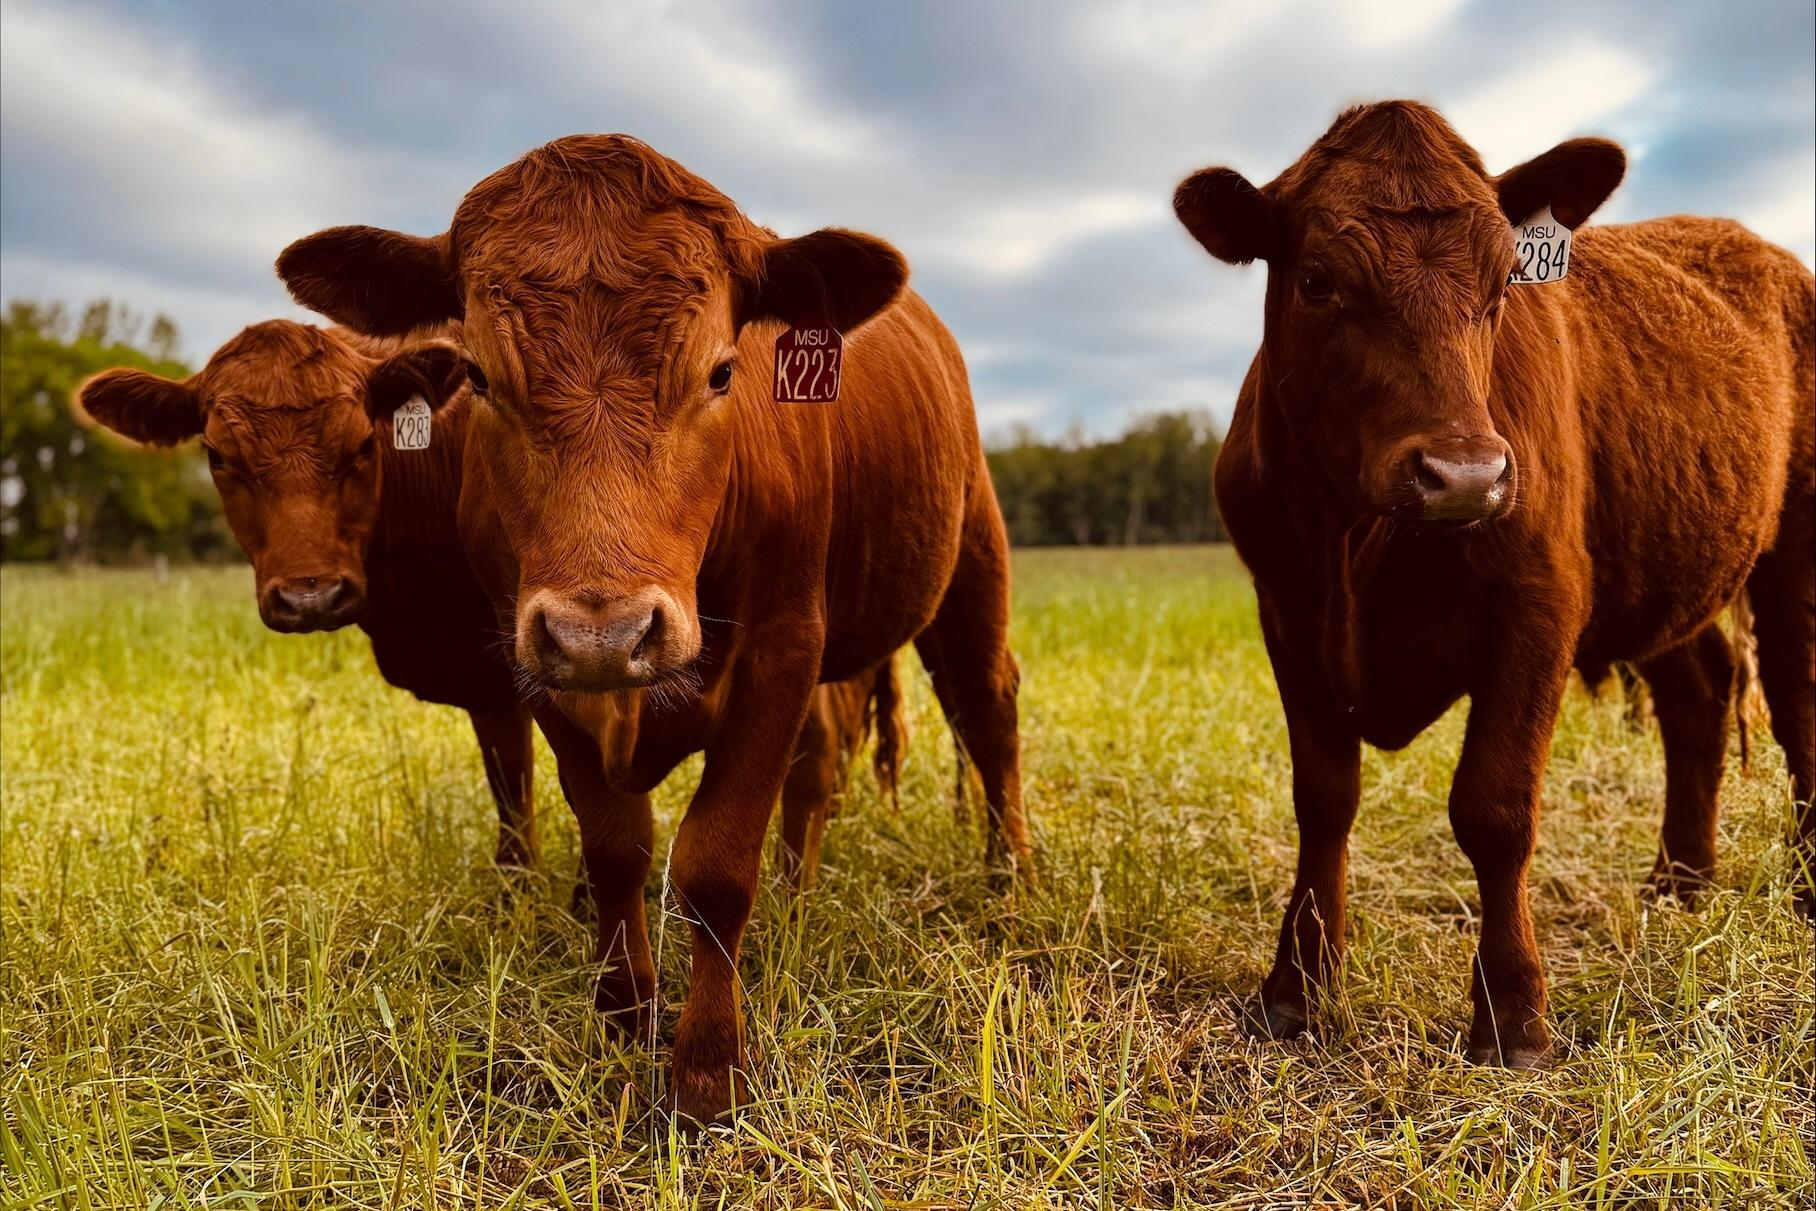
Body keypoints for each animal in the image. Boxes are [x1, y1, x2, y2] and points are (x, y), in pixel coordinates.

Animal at [275, 134, 1030, 1123]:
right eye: (478, 377)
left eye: (721, 371)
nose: (608, 632)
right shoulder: (533, 659)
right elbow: (616, 847)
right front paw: (624, 1013)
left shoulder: (784, 646)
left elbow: (715, 863)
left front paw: (707, 1068)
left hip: (969, 562)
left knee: (989, 716)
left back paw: (1007, 888)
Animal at [1173, 101, 1814, 1069]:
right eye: (1317, 282)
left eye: (1504, 282)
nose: (1465, 476)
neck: (1360, 538)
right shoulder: (1287, 610)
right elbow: (1323, 797)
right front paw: (1297, 990)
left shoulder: (1540, 604)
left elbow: (1495, 806)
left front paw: (1513, 1016)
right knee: (1699, 695)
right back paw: (1679, 884)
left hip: (1799, 546)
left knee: (1798, 695)